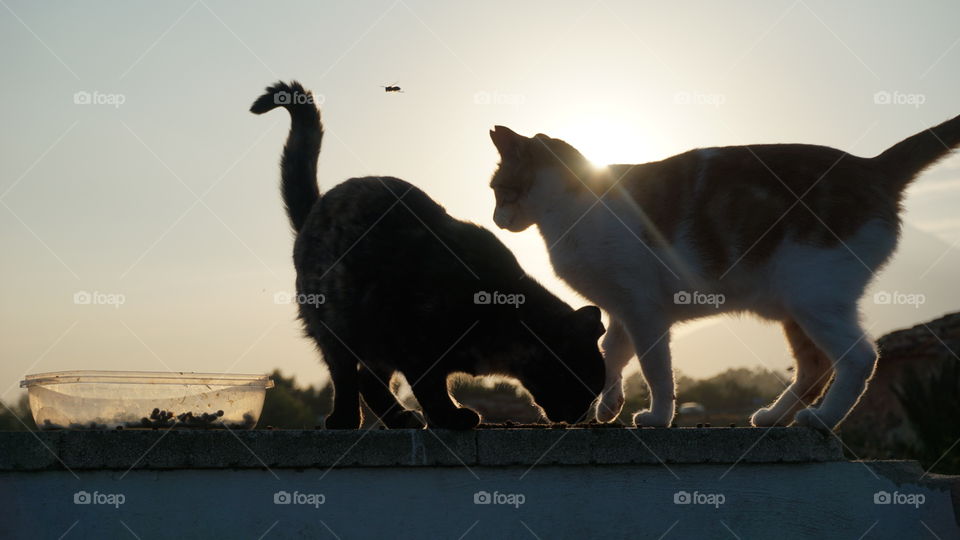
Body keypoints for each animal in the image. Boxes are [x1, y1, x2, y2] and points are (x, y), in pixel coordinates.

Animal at [251, 80, 604, 428]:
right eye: (584, 384)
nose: (582, 415)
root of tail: (316, 209)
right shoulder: (415, 342)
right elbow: (430, 386)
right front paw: (450, 417)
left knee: (369, 381)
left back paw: (400, 418)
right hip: (337, 324)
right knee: (346, 376)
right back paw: (344, 420)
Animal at [488, 115, 960, 430]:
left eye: (497, 190)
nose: (495, 218)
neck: (570, 210)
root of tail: (869, 164)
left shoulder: (643, 310)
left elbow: (655, 368)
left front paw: (659, 416)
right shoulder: (621, 308)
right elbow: (613, 355)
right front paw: (608, 405)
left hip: (814, 297)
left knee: (858, 358)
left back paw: (823, 419)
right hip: (794, 308)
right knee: (814, 368)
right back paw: (774, 415)